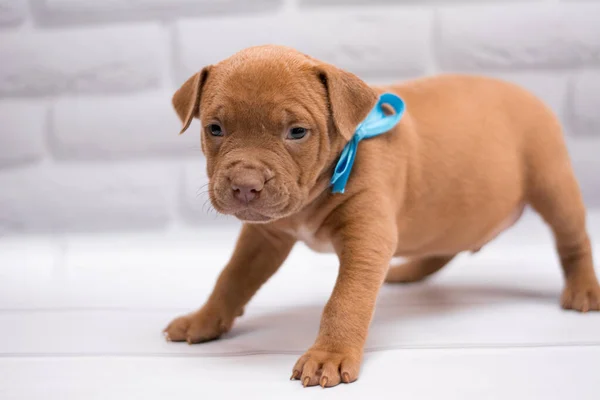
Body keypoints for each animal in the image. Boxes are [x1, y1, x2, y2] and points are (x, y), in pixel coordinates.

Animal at [164, 46, 600, 388]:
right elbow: (232, 277)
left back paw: (584, 290)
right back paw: (406, 270)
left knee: (573, 240)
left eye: (297, 132)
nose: (245, 185)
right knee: (444, 244)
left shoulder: (366, 236)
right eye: (215, 128)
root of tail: (529, 92)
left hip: (552, 181)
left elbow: (346, 300)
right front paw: (204, 319)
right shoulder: (265, 237)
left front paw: (328, 355)